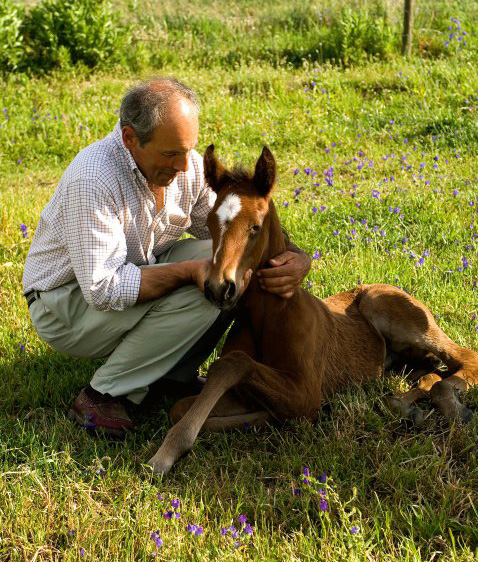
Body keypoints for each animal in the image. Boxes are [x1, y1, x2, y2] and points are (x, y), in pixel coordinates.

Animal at [148, 144, 478, 472]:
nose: (219, 287)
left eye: (255, 227)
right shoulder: (247, 392)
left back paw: (450, 405)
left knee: (464, 358)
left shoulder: (304, 392)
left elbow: (233, 364)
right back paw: (407, 405)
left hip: (393, 311)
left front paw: (166, 453)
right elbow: (181, 406)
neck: (270, 315)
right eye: (209, 224)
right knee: (429, 372)